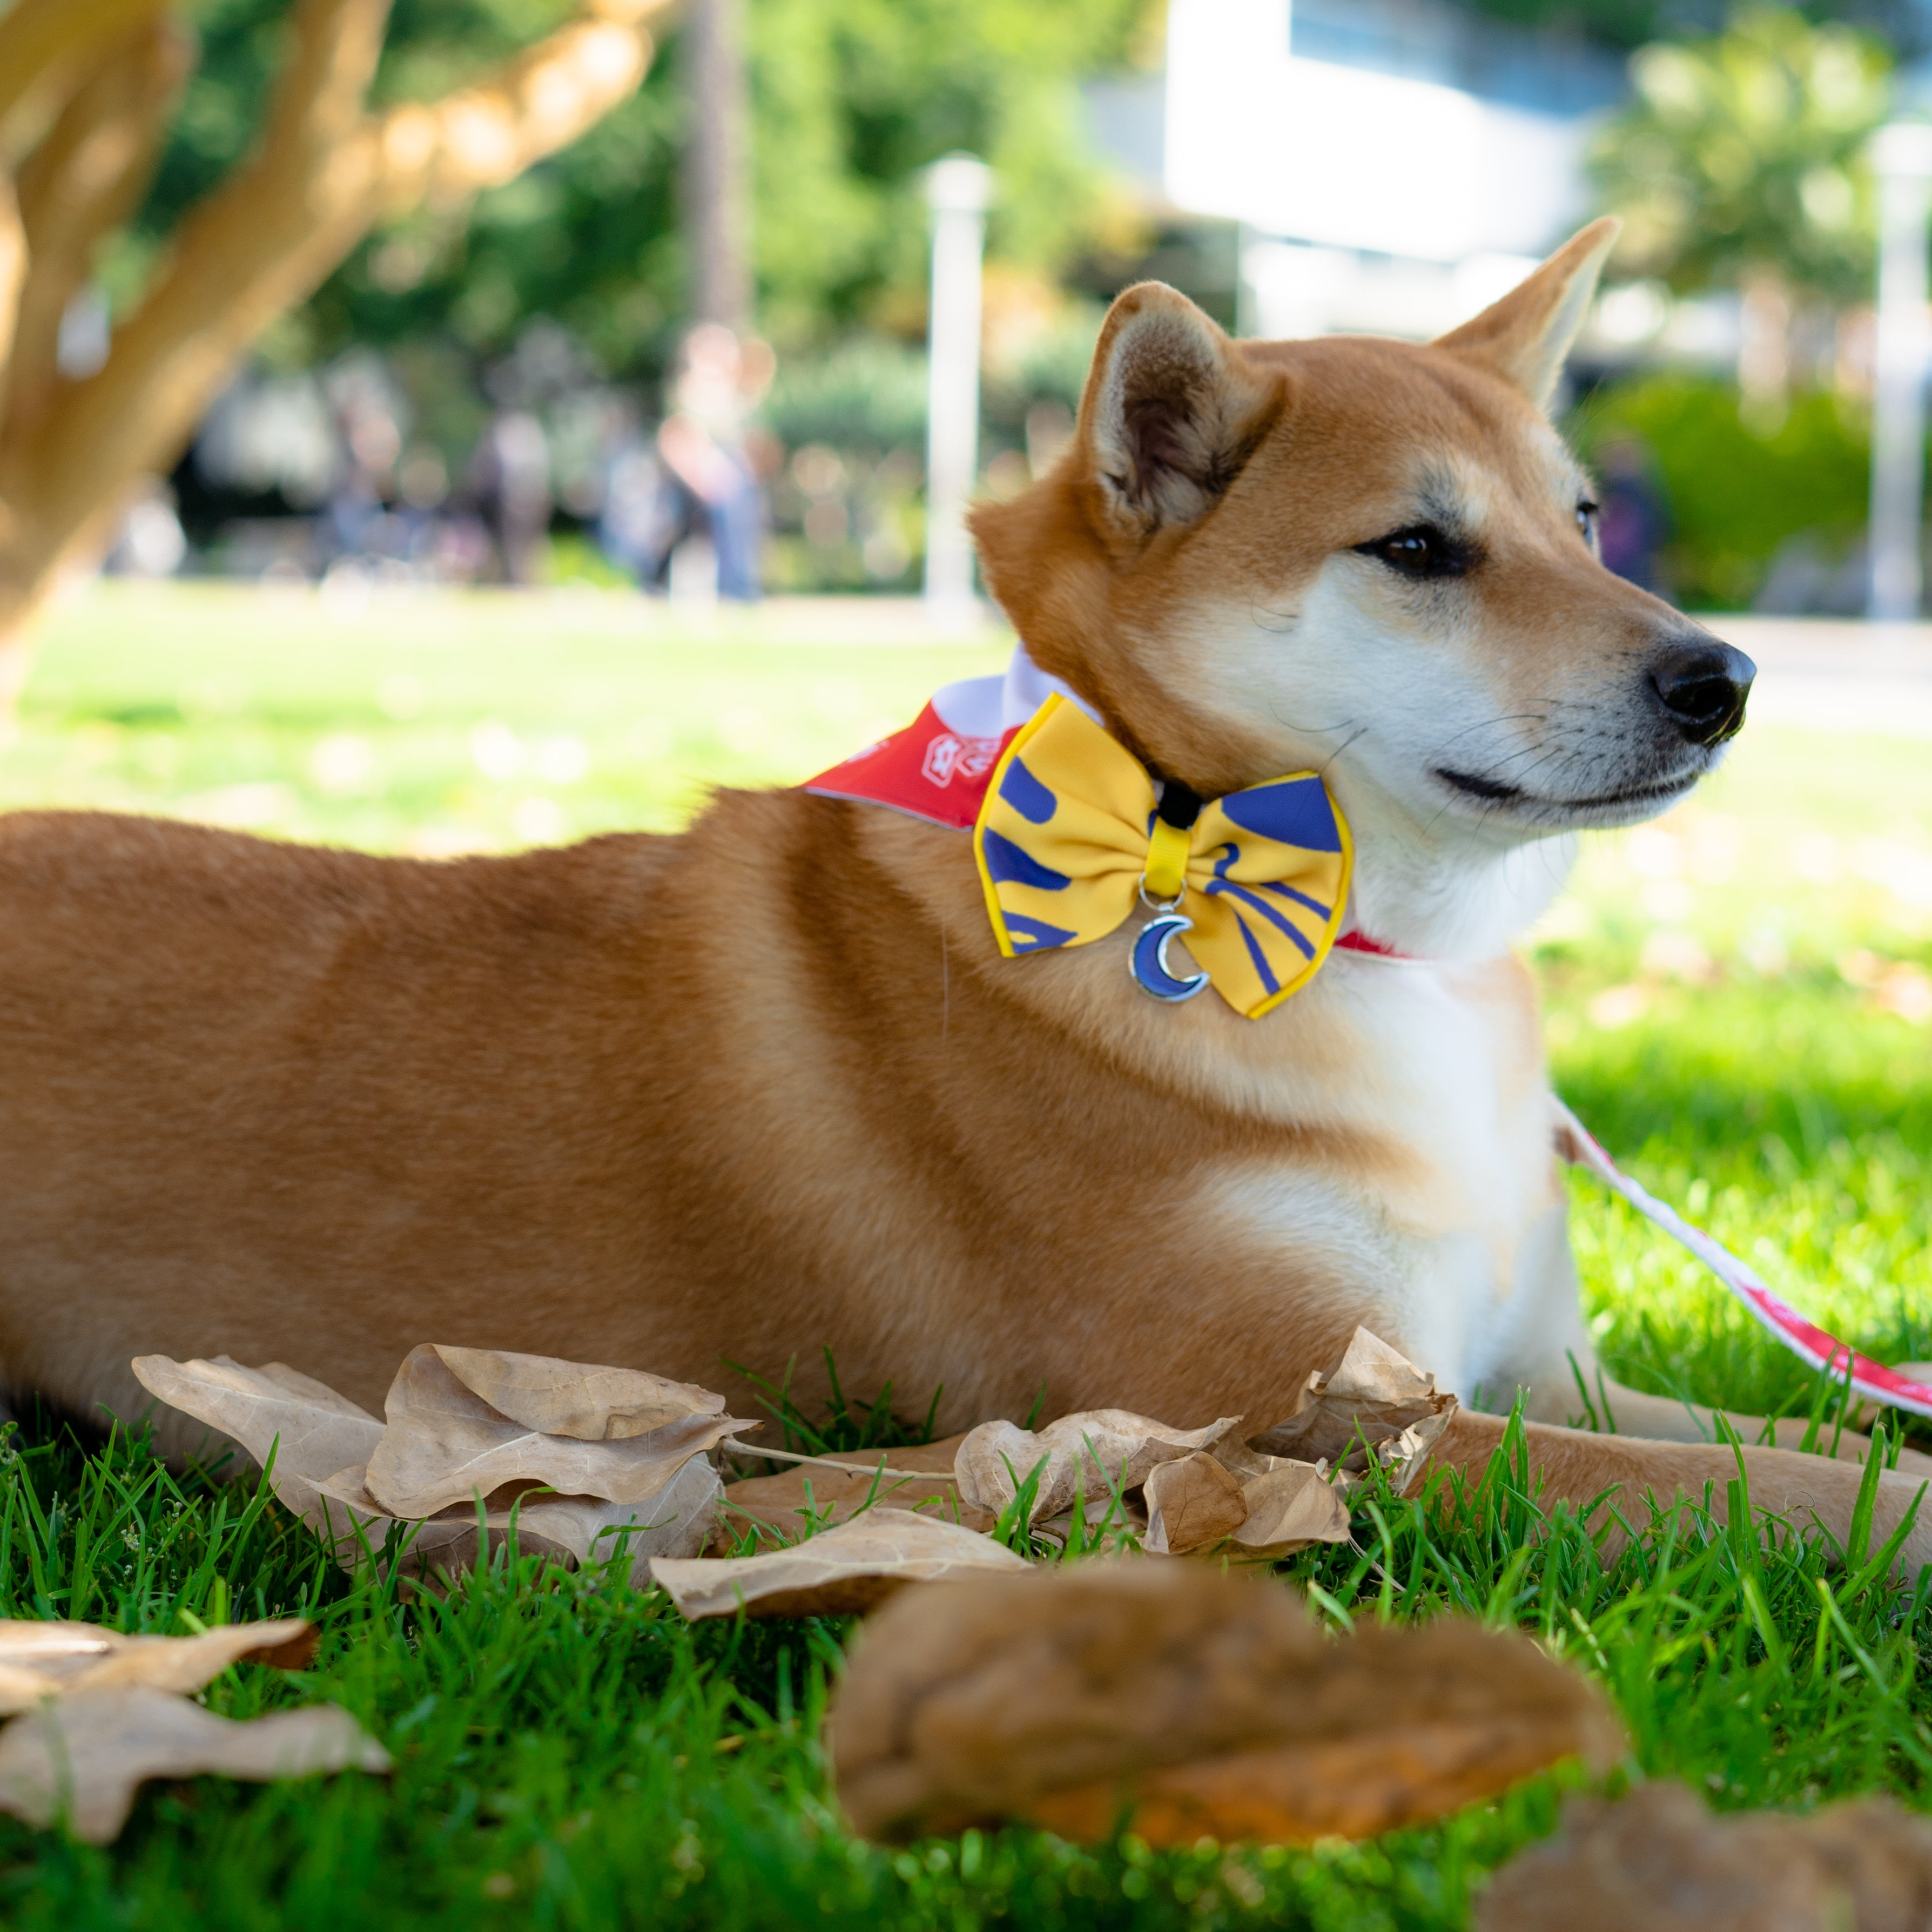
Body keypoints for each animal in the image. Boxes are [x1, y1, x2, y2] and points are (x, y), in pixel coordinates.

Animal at [3, 219, 1932, 1561]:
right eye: (1416, 548)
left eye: (1588, 518)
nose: (1725, 678)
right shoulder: (1316, 1424)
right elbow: (1787, 1491)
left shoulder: (1545, 1377)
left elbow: (1815, 1438)